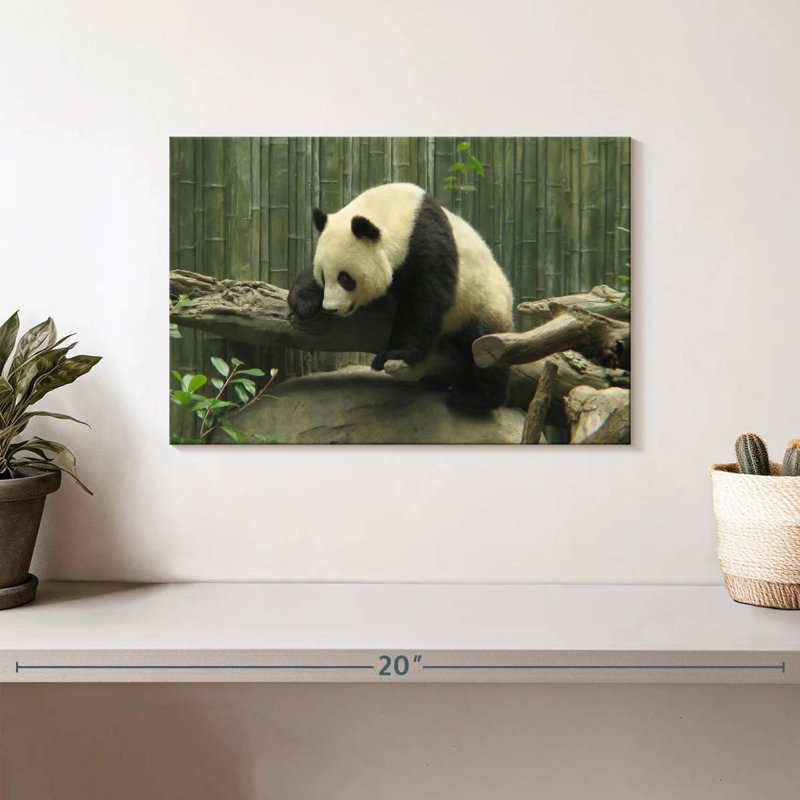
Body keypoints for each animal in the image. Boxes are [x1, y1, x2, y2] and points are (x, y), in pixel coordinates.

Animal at [287, 182, 514, 411]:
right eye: (324, 276)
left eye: (345, 278)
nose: (331, 307)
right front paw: (303, 301)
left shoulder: (427, 243)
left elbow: (425, 300)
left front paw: (395, 353)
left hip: (481, 303)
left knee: (483, 348)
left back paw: (475, 399)